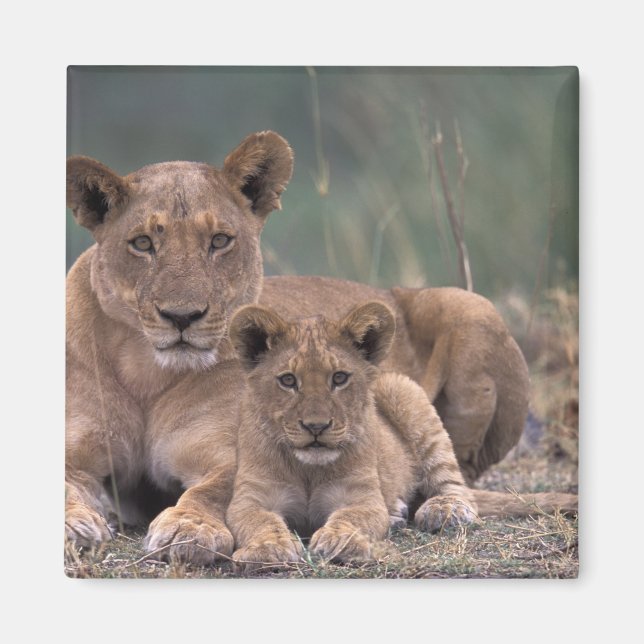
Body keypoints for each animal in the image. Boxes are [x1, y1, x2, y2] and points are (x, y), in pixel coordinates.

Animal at [226, 301, 478, 569]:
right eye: (288, 380)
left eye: (339, 378)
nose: (316, 427)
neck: (308, 471)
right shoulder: (251, 497)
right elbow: (259, 522)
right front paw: (268, 548)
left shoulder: (361, 496)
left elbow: (351, 517)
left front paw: (340, 540)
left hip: (400, 388)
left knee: (458, 487)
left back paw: (445, 509)